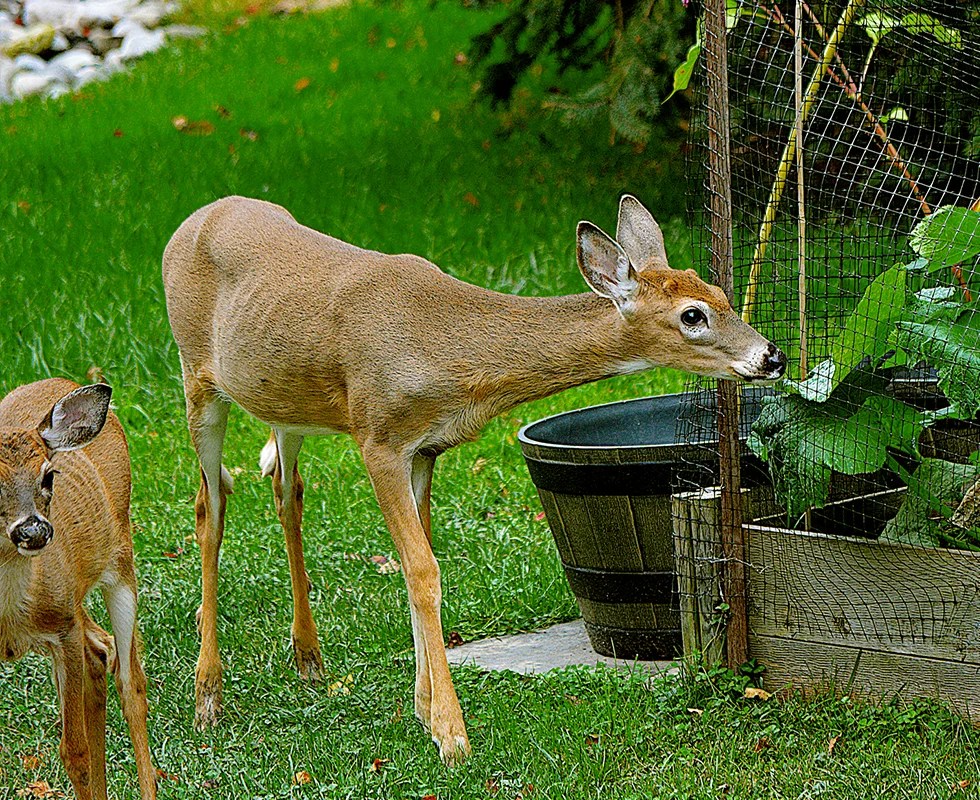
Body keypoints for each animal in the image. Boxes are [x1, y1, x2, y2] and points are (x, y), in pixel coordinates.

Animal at [0, 378, 156, 799]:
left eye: (48, 476)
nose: (34, 530)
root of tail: (62, 382)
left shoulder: (63, 629)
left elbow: (75, 752)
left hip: (121, 560)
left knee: (130, 681)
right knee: (100, 650)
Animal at [162, 193, 785, 764]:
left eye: (722, 295)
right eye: (692, 315)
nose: (772, 357)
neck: (450, 354)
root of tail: (193, 220)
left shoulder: (426, 448)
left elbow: (417, 564)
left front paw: (421, 707)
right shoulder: (378, 436)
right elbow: (422, 570)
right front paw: (451, 734)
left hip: (284, 402)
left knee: (285, 490)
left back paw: (309, 660)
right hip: (197, 377)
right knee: (209, 506)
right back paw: (207, 697)